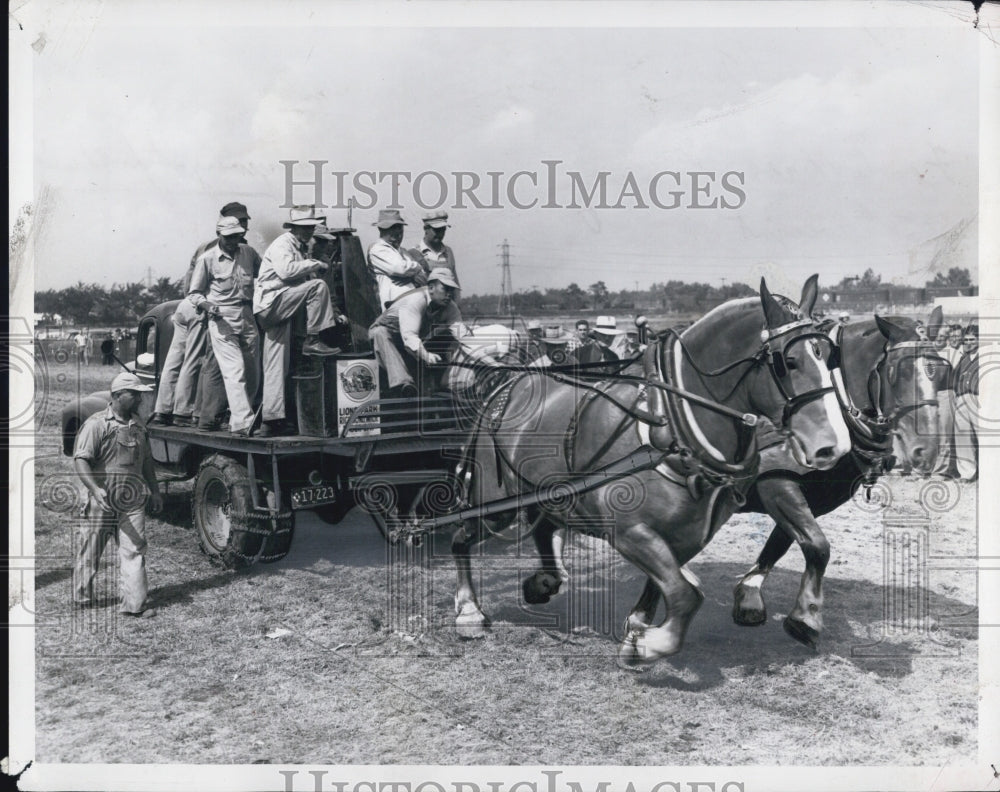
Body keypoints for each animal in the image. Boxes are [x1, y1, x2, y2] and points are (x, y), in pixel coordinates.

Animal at [454, 276, 852, 664]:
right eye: (789, 361)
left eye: (829, 356)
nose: (834, 445)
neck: (673, 425)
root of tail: (504, 385)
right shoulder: (628, 530)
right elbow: (685, 594)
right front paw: (651, 644)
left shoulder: (688, 534)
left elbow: (666, 585)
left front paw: (638, 628)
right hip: (495, 504)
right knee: (462, 536)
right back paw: (469, 611)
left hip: (549, 494)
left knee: (543, 528)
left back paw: (543, 583)